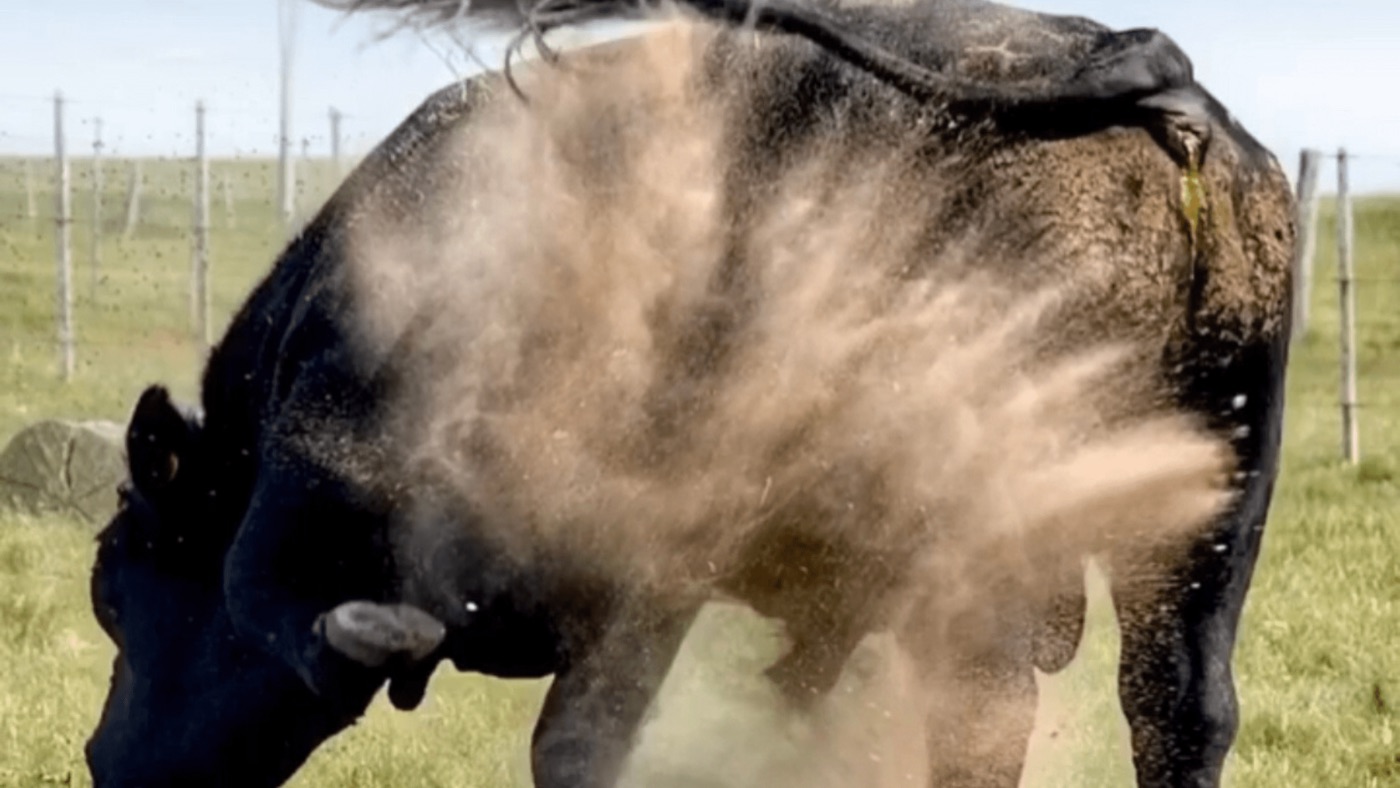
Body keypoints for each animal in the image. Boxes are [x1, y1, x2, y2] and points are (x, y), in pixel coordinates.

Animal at [84, 1, 1296, 787]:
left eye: (114, 593)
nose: (101, 758)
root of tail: (1142, 66)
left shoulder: (637, 567)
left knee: (986, 717)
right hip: (1203, 529)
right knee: (1177, 707)